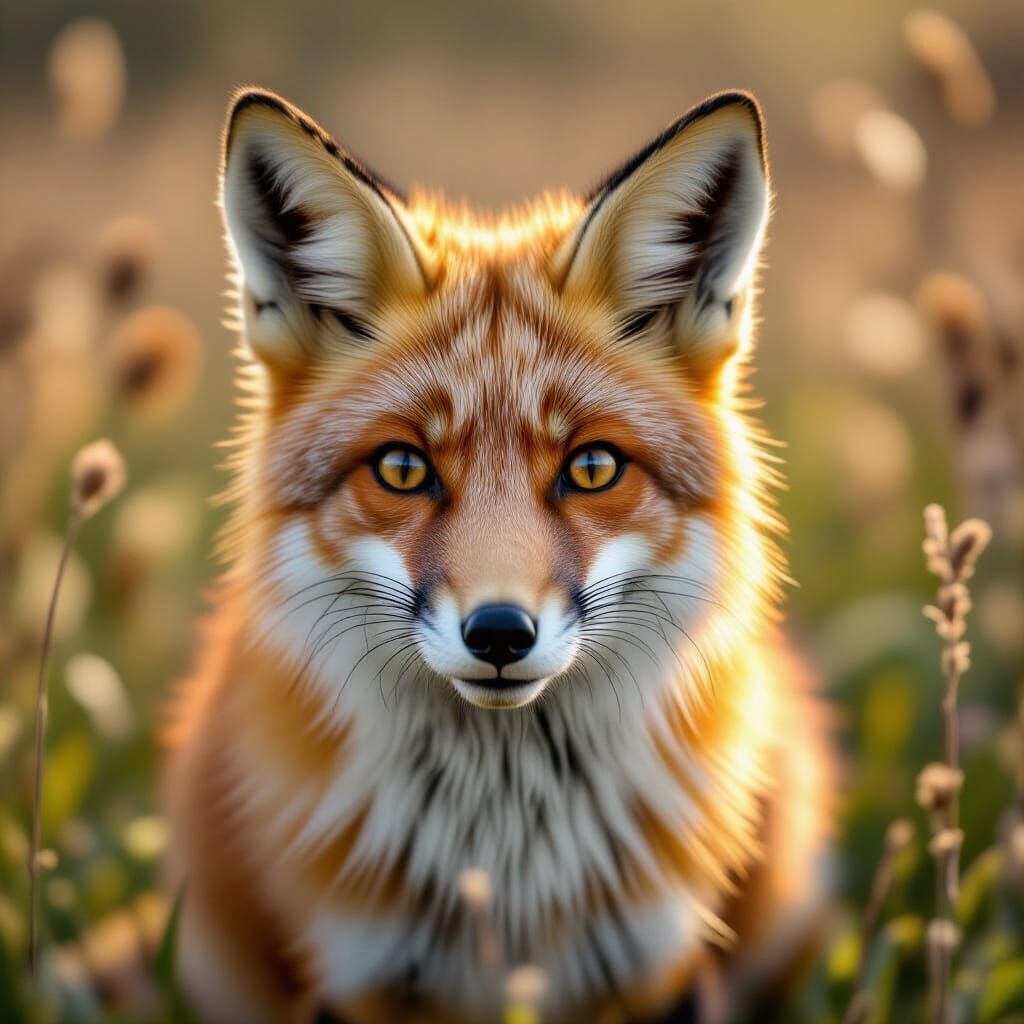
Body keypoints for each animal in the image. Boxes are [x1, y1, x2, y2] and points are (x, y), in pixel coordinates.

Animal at [163, 86, 833, 1024]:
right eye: (403, 469)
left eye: (592, 467)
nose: (501, 634)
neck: (508, 863)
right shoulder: (358, 976)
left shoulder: (656, 968)